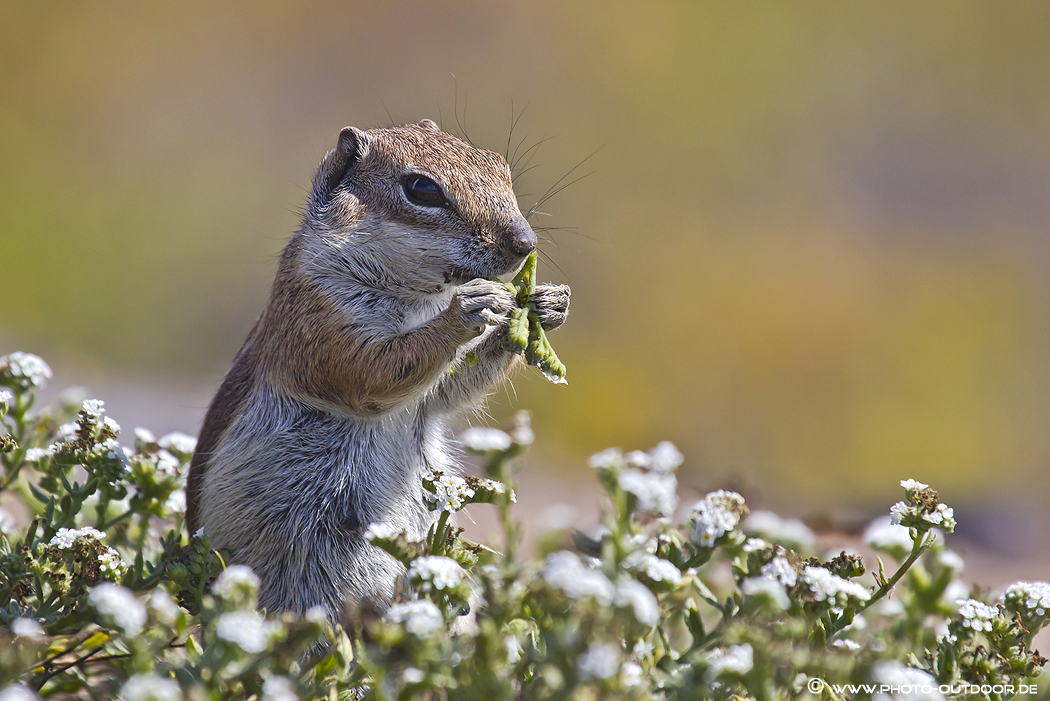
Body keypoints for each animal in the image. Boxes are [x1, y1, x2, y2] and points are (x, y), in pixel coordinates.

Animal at [184, 119, 571, 625]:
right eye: (422, 189)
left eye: (500, 166)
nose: (527, 244)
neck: (418, 299)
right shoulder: (319, 319)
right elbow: (371, 372)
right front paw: (470, 308)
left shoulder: (428, 392)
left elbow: (445, 390)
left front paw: (546, 304)